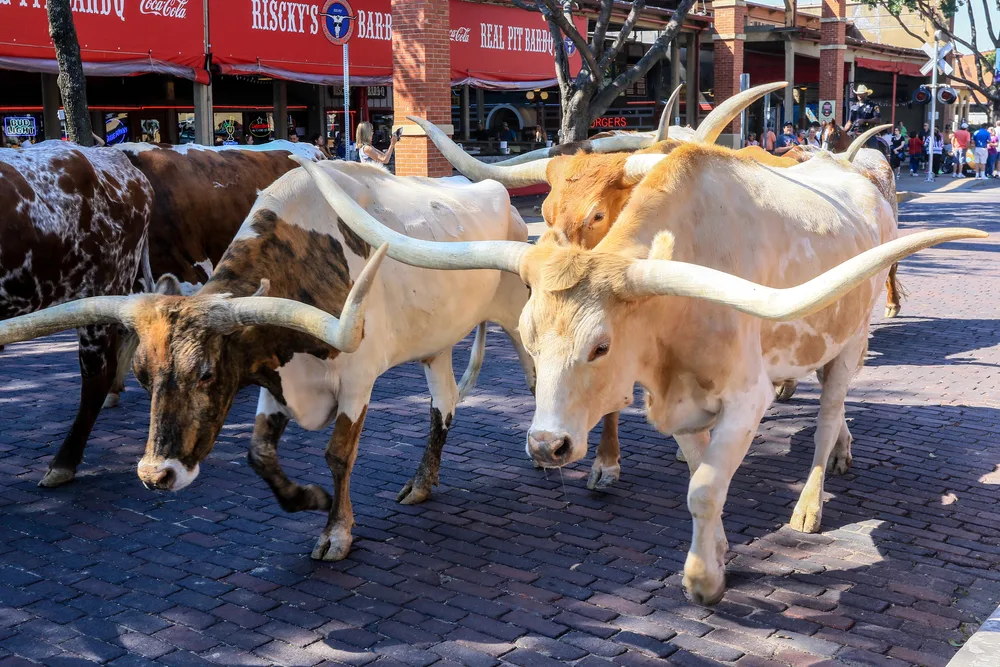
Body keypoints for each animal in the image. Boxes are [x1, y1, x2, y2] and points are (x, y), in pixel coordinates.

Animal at [297, 140, 984, 604]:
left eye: (601, 346)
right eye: (528, 337)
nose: (546, 446)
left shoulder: (748, 399)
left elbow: (703, 488)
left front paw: (703, 580)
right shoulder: (676, 406)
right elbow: (701, 476)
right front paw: (720, 550)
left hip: (851, 341)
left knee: (826, 416)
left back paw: (812, 501)